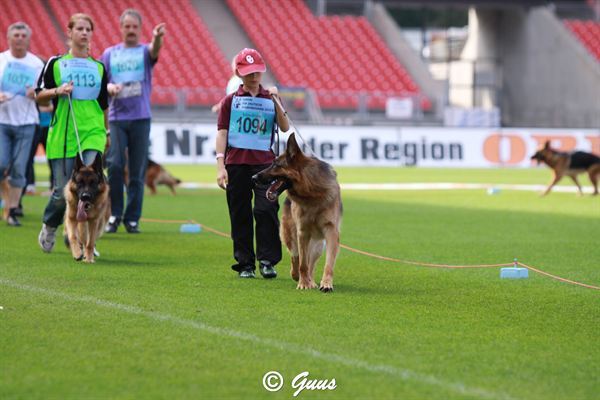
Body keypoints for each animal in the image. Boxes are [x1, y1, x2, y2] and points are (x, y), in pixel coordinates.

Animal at [251, 134, 342, 290]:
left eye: (275, 165)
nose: (253, 178)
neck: (312, 193)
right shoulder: (302, 232)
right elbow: (302, 263)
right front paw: (303, 283)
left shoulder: (331, 232)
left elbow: (328, 264)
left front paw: (326, 284)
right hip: (291, 236)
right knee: (296, 257)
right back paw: (298, 276)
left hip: (318, 245)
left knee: (311, 263)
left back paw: (311, 280)